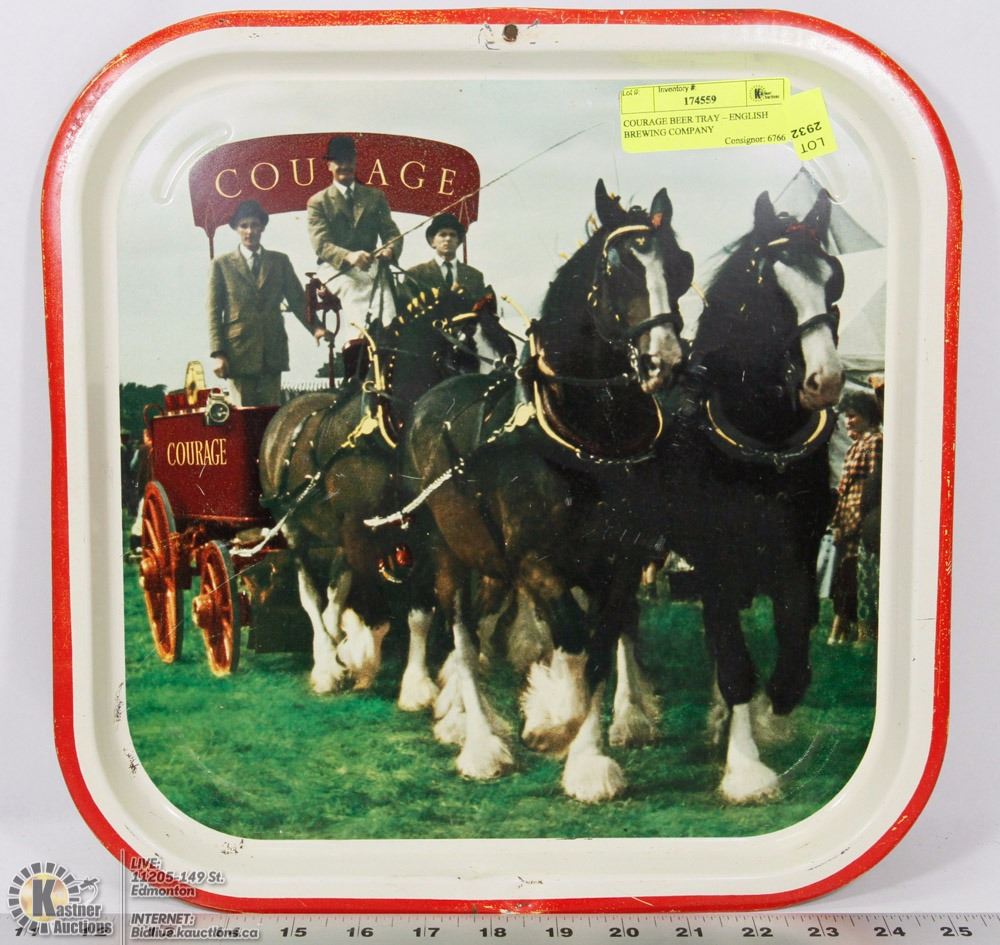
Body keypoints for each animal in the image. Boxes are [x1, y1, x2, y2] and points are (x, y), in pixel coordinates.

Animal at [258, 285, 514, 702]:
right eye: (461, 353)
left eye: (509, 347)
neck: (391, 431)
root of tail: (286, 410)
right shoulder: (359, 529)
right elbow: (370, 602)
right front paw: (359, 655)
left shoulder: (420, 532)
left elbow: (419, 611)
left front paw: (416, 684)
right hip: (294, 528)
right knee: (311, 596)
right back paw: (326, 663)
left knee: (335, 586)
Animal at [401, 180, 693, 795]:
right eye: (616, 267)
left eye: (681, 266)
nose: (666, 361)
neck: (590, 435)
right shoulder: (538, 561)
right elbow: (575, 645)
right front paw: (558, 720)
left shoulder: (622, 562)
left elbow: (601, 648)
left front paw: (589, 755)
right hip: (445, 550)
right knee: (459, 630)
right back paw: (478, 739)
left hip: (490, 560)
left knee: (481, 626)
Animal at [647, 189, 846, 802]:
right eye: (767, 281)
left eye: (833, 280)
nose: (827, 380)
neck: (762, 440)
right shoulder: (714, 559)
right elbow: (734, 662)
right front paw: (745, 768)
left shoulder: (797, 553)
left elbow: (795, 633)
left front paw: (774, 702)